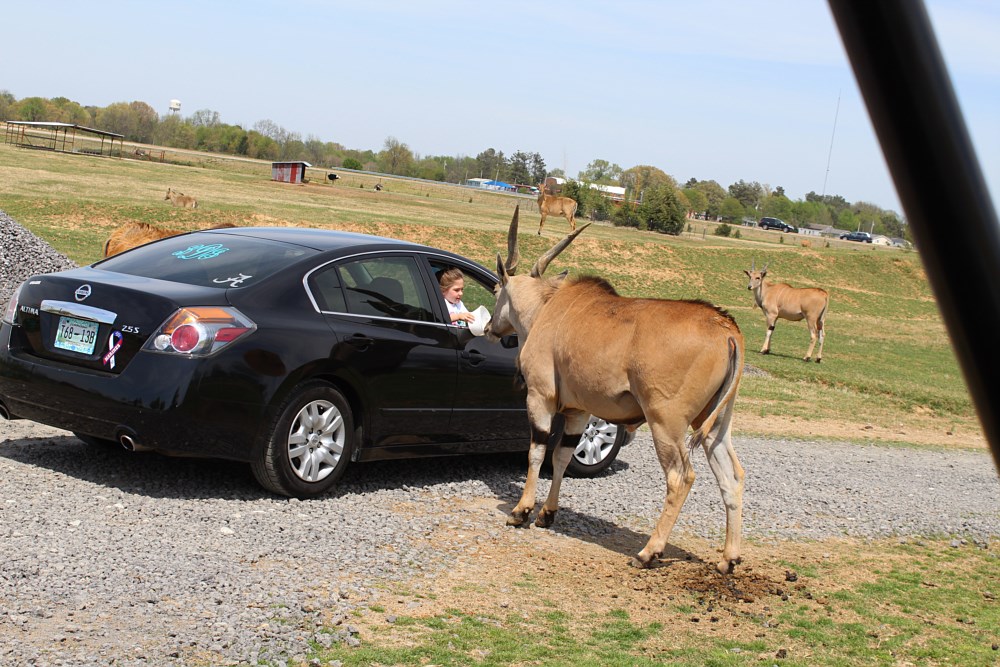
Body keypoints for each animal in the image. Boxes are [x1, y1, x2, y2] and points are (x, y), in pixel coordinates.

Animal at [488, 205, 748, 576]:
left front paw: (521, 511)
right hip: (714, 425)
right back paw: (728, 558)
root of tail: (727, 329)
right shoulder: (578, 411)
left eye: (496, 291)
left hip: (665, 422)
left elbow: (537, 452)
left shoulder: (540, 398)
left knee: (681, 476)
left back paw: (648, 552)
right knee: (732, 476)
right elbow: (563, 455)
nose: (491, 328)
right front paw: (547, 514)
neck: (547, 310)